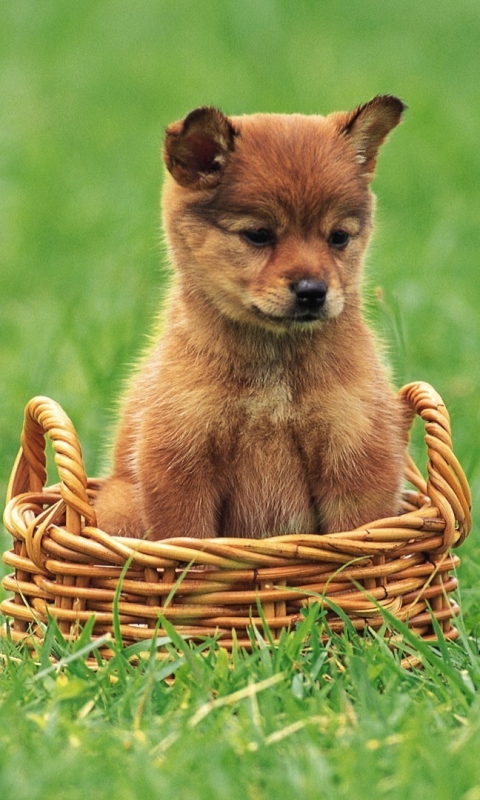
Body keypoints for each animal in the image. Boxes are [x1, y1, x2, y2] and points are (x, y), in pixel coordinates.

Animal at [95, 97, 410, 540]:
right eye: (259, 234)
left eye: (339, 237)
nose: (313, 291)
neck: (272, 372)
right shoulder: (179, 459)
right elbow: (189, 541)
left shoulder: (356, 454)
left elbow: (359, 539)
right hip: (119, 505)